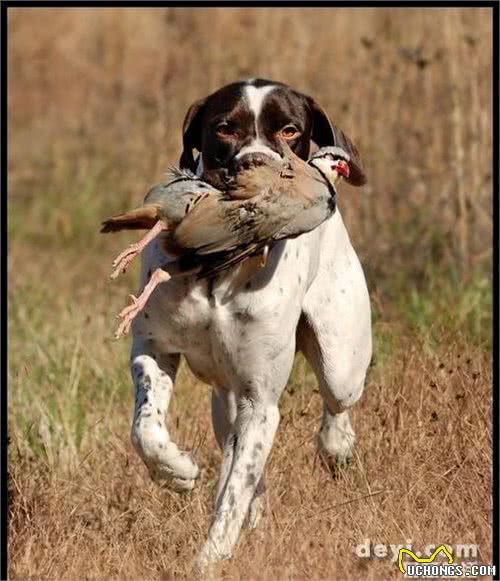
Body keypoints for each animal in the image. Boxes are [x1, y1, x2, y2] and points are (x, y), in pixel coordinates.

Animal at [129, 79, 372, 568]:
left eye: (289, 128)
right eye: (224, 127)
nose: (254, 163)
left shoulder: (261, 400)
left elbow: (233, 494)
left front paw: (210, 560)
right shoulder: (152, 348)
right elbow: (146, 427)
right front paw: (175, 470)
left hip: (340, 364)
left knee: (335, 404)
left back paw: (336, 446)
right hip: (226, 404)